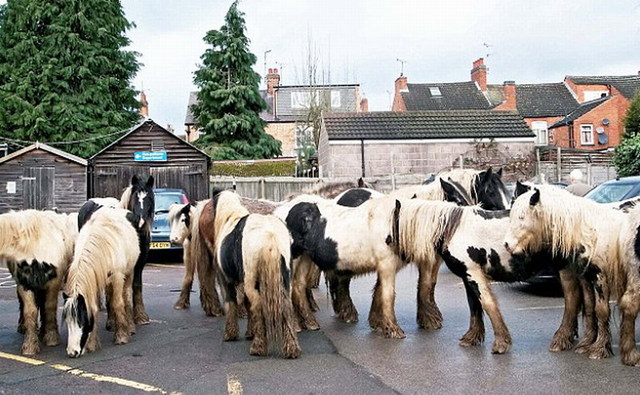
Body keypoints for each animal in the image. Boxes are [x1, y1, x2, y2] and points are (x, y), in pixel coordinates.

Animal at [0, 210, 77, 356]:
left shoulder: (53, 282)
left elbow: (49, 306)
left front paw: (51, 337)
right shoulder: (24, 284)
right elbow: (30, 311)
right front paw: (30, 345)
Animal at [63, 207, 140, 358]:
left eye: (81, 320)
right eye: (68, 322)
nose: (72, 352)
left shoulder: (117, 277)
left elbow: (118, 304)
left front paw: (121, 336)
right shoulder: (95, 280)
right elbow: (94, 307)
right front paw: (93, 344)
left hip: (129, 273)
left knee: (126, 297)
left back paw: (129, 327)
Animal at [200, 189, 300, 358]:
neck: (230, 218)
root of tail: (270, 235)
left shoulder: (227, 281)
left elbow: (232, 304)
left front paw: (231, 334)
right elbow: (246, 305)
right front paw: (249, 332)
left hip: (251, 282)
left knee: (258, 307)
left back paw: (258, 347)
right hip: (284, 281)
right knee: (285, 307)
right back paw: (291, 349)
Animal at [502, 187, 640, 366]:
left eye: (522, 217)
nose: (506, 245)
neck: (589, 231)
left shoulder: (600, 277)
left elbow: (601, 310)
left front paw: (599, 348)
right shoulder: (584, 277)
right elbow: (588, 307)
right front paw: (586, 343)